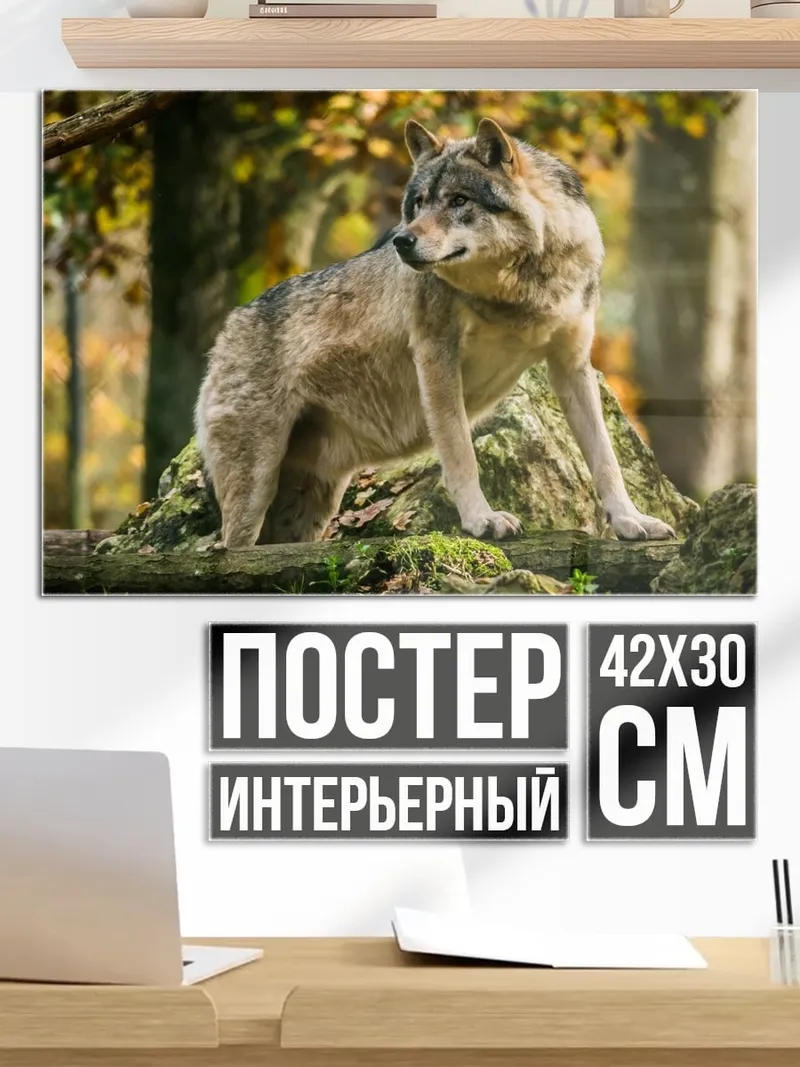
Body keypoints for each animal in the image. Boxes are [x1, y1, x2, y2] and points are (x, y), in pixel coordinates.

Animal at [196, 117, 675, 548]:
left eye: (459, 200)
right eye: (420, 203)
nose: (401, 241)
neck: (517, 293)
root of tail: (228, 327)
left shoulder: (571, 366)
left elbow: (606, 458)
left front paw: (631, 522)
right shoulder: (436, 357)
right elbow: (461, 452)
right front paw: (482, 520)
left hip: (311, 503)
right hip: (256, 489)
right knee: (231, 548)